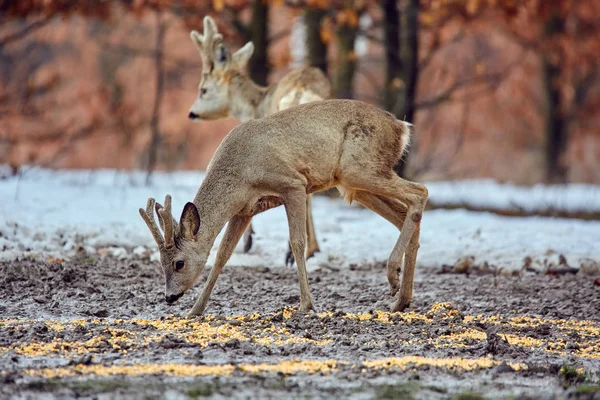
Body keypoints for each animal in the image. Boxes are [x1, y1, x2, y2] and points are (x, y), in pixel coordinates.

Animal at [139, 98, 426, 318]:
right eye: (160, 262)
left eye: (179, 263)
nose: (169, 297)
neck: (241, 174)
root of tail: (401, 127)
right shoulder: (245, 210)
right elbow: (222, 255)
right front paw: (195, 311)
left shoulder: (293, 184)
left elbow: (297, 242)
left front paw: (306, 305)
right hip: (353, 184)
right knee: (404, 214)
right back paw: (400, 299)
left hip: (359, 169)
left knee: (420, 192)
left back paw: (392, 275)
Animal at [186, 15, 330, 266]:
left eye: (203, 90)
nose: (191, 113)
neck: (255, 104)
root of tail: (302, 91)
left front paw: (248, 240)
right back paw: (311, 249)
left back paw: (292, 252)